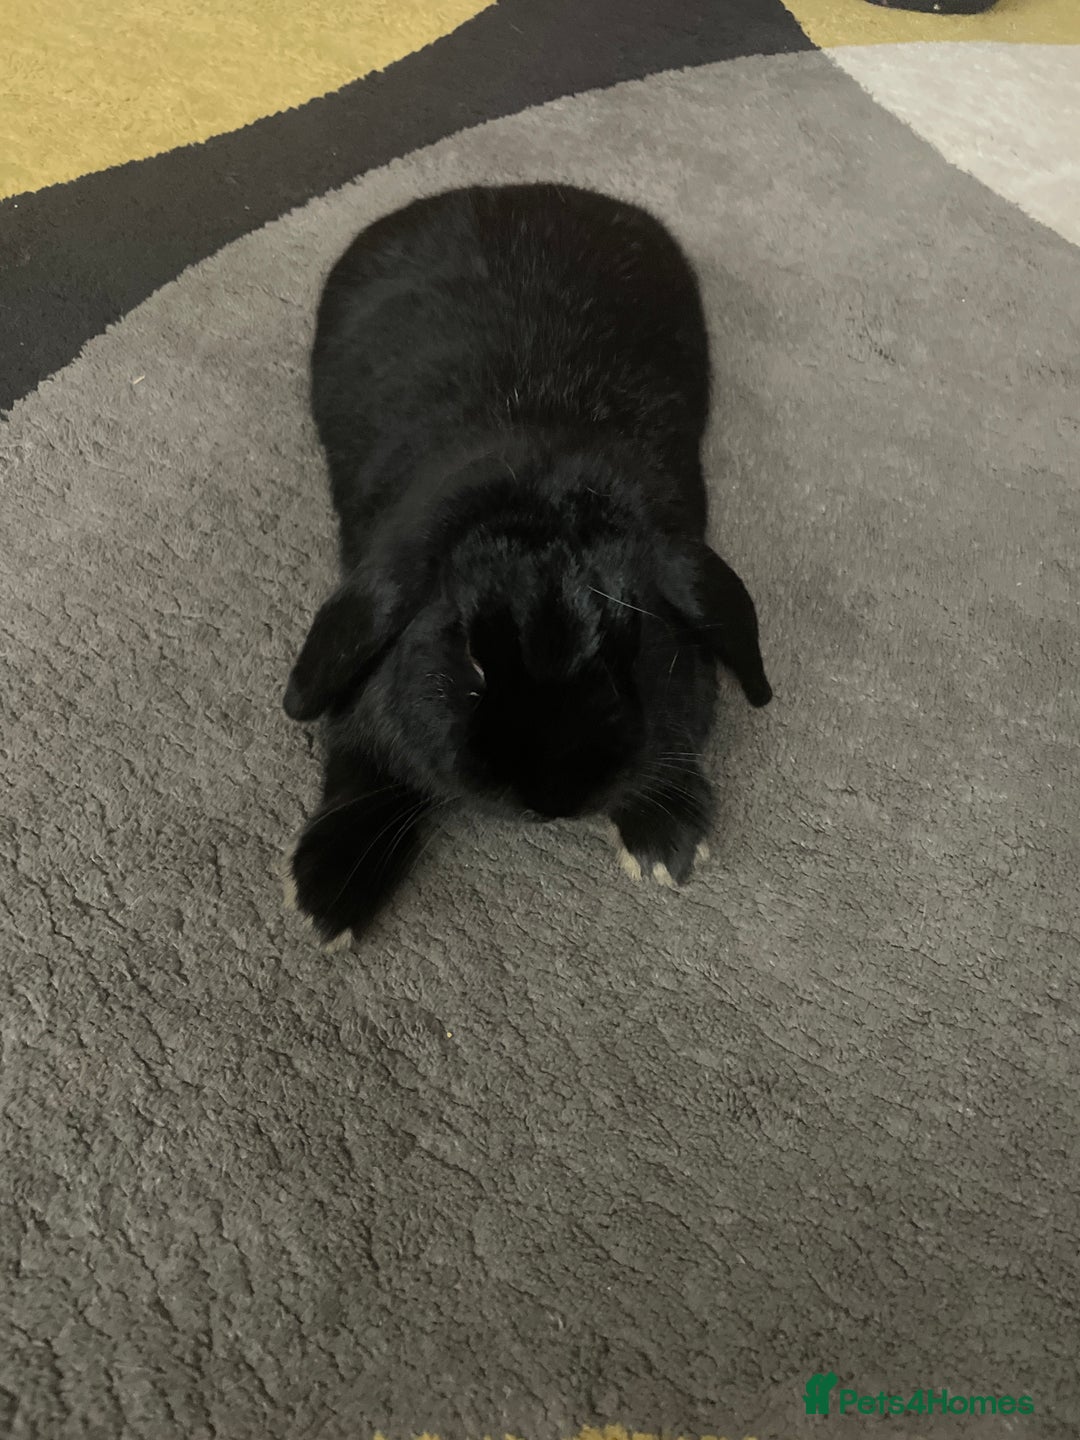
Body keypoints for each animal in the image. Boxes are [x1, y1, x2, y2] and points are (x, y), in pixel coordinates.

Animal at [282, 182, 772, 943]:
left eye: (634, 652)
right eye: (472, 662)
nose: (551, 800)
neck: (541, 476)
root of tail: (508, 192)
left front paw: (666, 841)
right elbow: (362, 759)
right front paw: (325, 894)